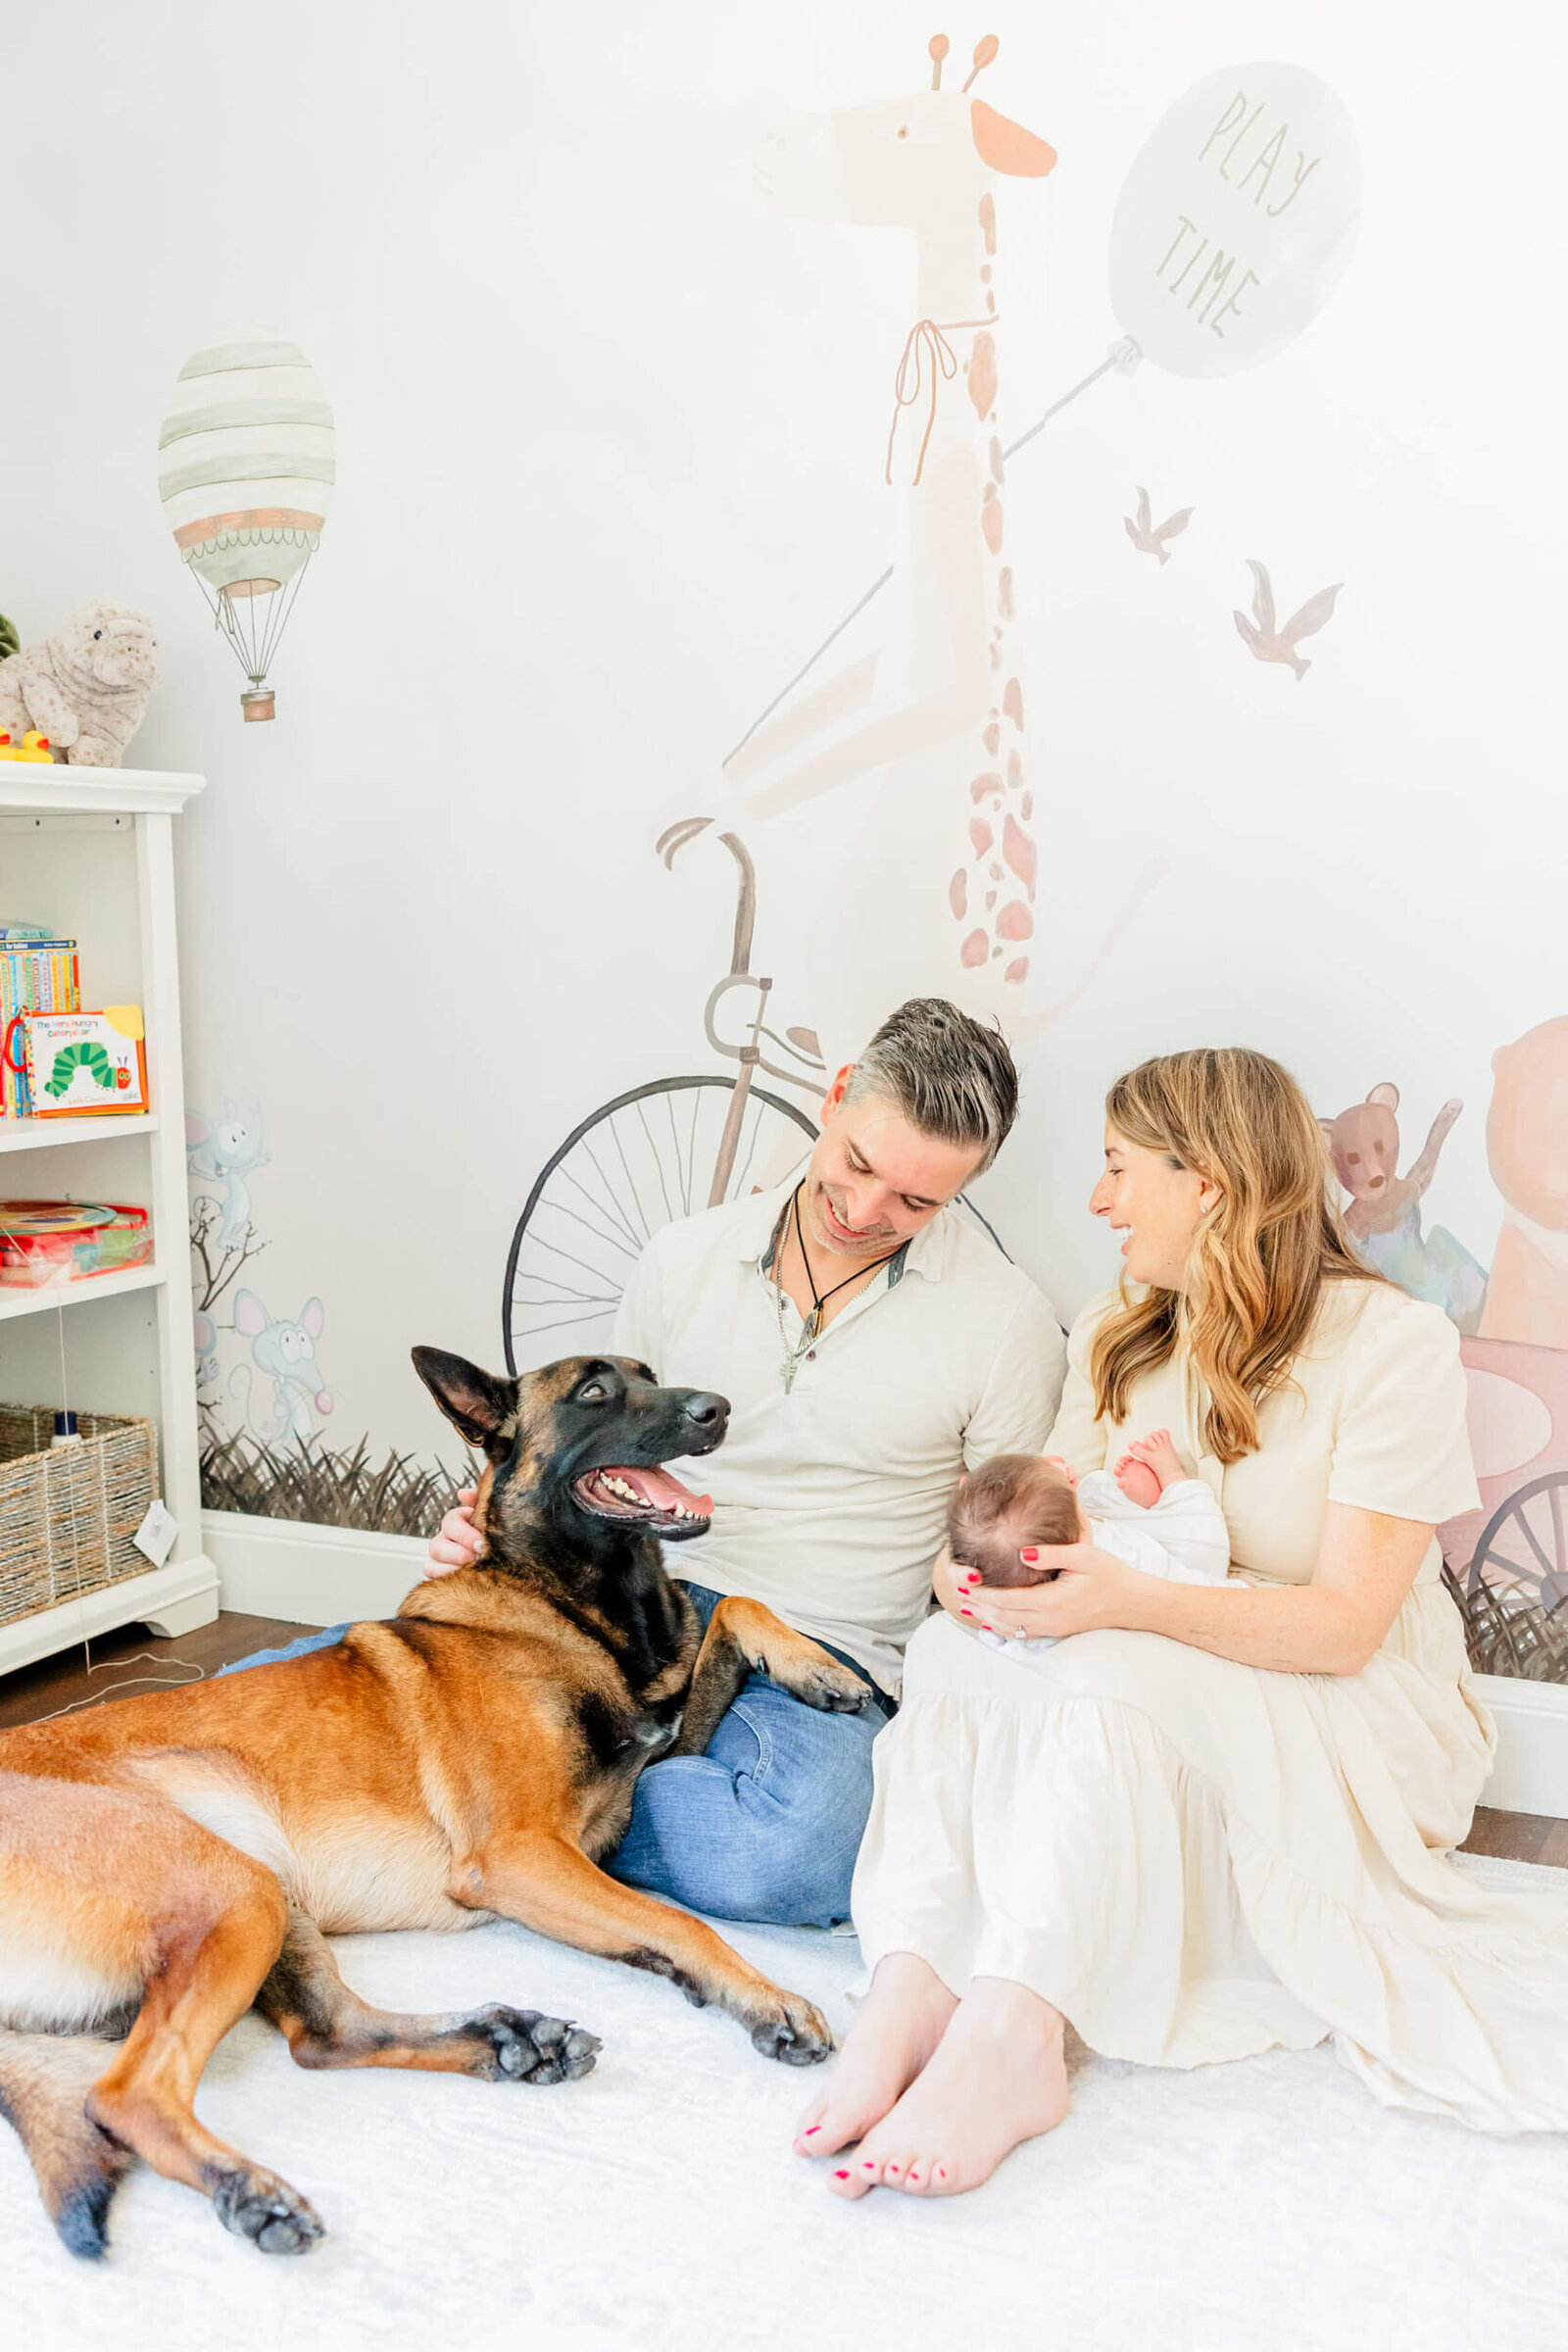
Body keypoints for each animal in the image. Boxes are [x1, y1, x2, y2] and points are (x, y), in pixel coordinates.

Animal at [0, 1364, 869, 2258]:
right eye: (594, 1391)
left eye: (650, 1378)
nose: (717, 1410)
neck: (567, 1600)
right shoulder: (519, 1854)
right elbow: (681, 1923)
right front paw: (765, 1998)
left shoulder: (652, 1764)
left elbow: (733, 1610)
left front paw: (817, 1668)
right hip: (232, 1893)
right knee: (126, 2095)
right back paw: (249, 2190)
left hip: (267, 1896)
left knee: (324, 2036)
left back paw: (510, 2043)